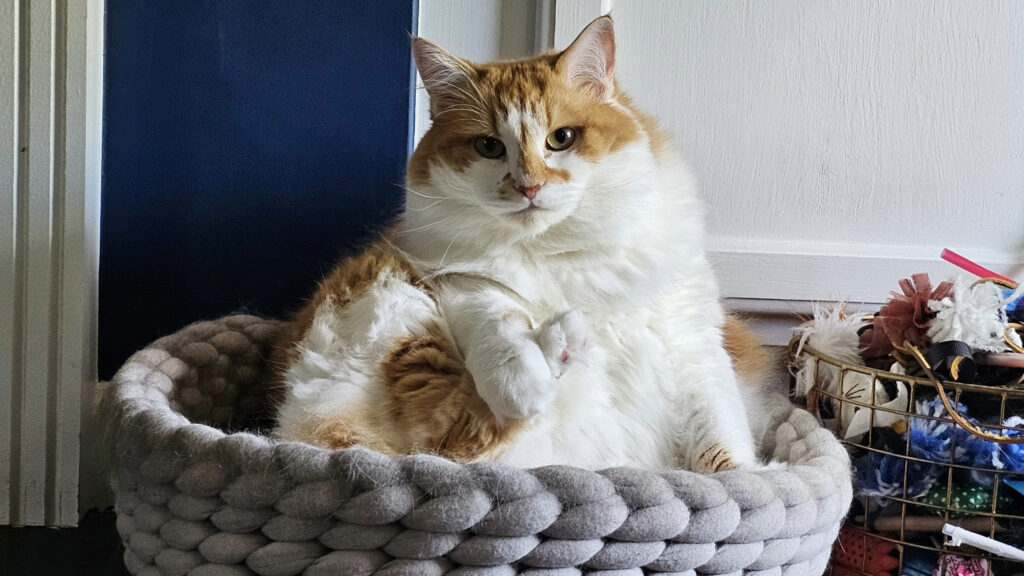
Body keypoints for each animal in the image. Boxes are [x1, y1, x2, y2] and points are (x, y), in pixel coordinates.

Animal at [268, 15, 778, 471]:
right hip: (394, 315)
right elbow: (501, 326)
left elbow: (722, 445)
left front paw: (746, 487)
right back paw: (562, 344)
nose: (528, 186)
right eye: (489, 147)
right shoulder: (458, 282)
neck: (559, 253)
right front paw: (524, 377)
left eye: (561, 138)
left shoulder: (694, 344)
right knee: (460, 435)